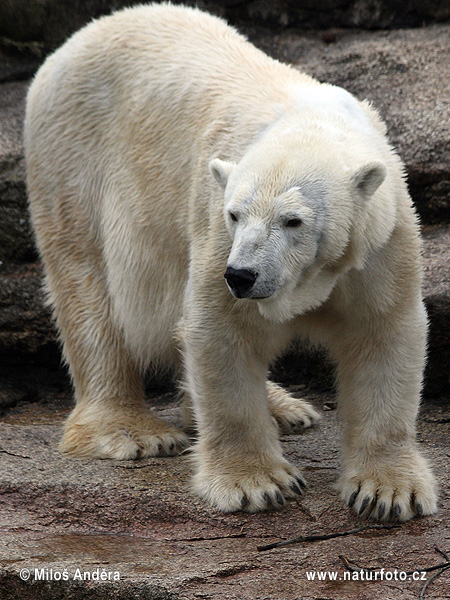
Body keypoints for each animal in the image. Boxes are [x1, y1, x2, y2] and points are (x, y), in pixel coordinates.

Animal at [23, 2, 436, 520]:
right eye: (235, 213)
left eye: (294, 220)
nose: (242, 276)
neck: (309, 119)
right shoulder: (216, 228)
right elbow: (221, 332)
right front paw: (255, 483)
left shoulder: (379, 242)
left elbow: (382, 332)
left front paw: (389, 491)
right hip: (75, 161)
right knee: (88, 289)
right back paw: (132, 432)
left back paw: (285, 407)